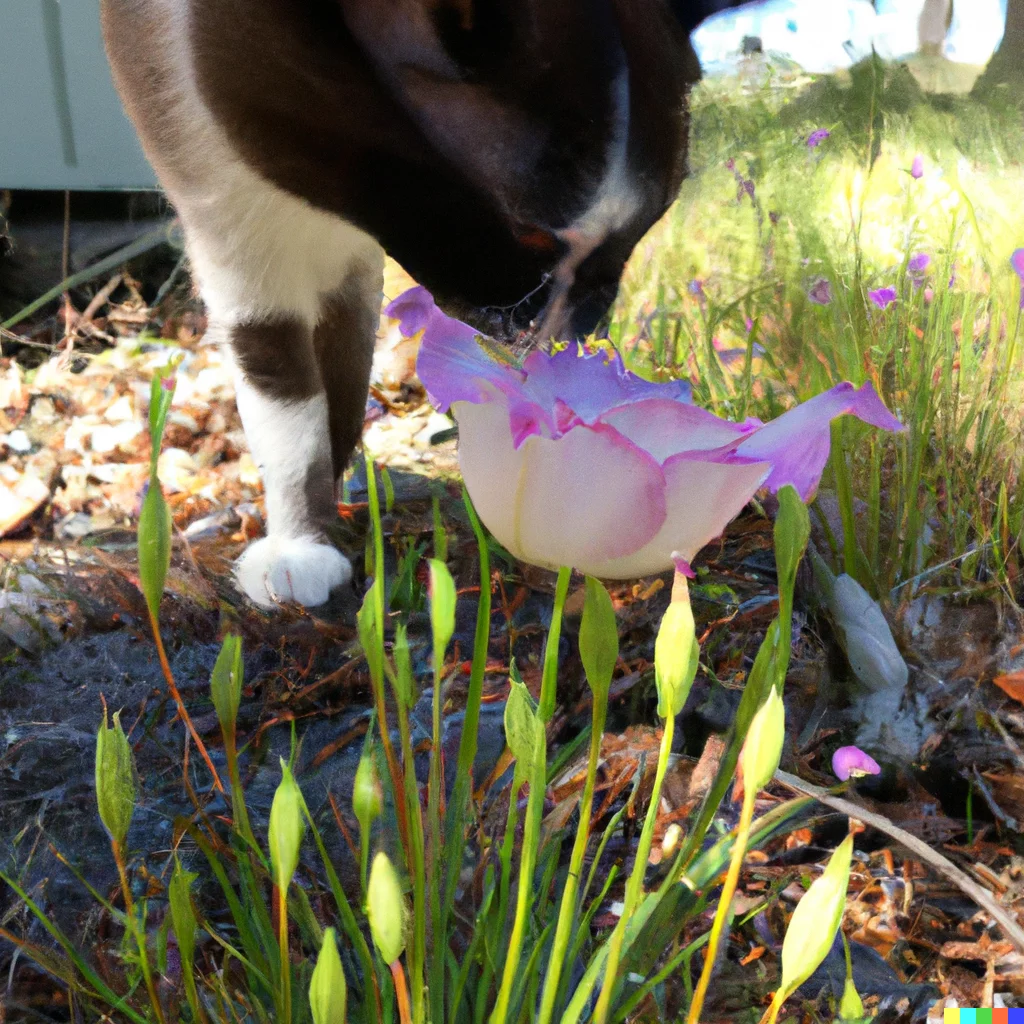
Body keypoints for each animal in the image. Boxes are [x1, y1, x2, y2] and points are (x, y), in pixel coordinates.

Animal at [96, 0, 720, 606]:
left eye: (634, 238)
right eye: (525, 239)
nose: (569, 336)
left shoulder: (353, 271)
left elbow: (344, 389)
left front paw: (332, 503)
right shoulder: (235, 227)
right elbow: (291, 416)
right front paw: (302, 545)